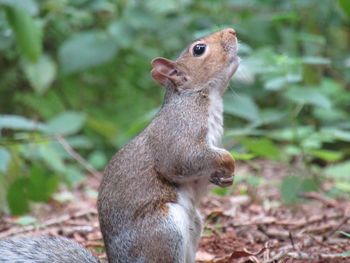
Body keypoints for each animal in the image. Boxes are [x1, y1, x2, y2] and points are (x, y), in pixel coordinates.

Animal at [0, 27, 239, 262]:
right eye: (199, 49)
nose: (232, 31)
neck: (202, 96)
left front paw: (224, 178)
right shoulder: (179, 129)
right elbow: (182, 160)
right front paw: (229, 161)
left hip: (193, 225)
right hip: (164, 229)